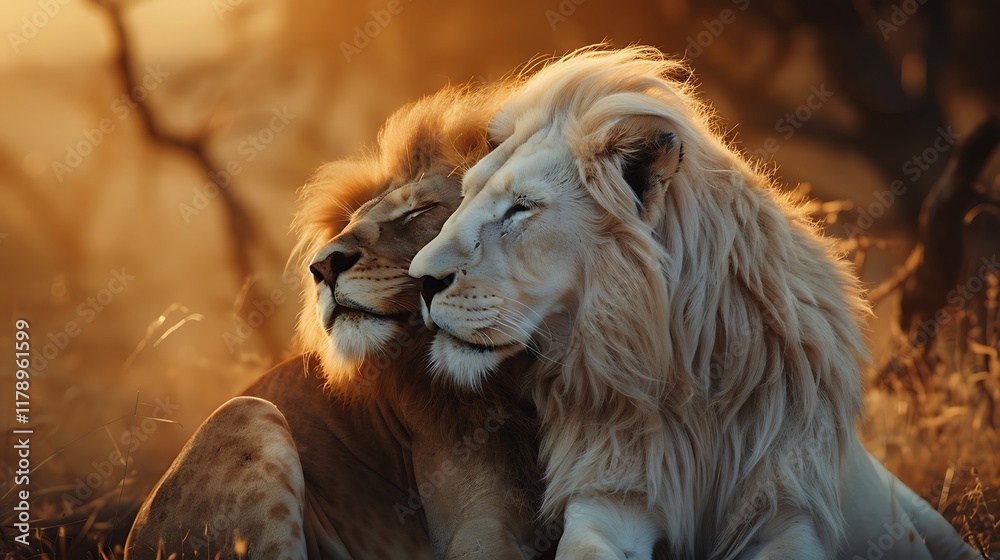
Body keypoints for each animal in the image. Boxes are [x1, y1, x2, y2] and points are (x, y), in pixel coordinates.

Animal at [126, 83, 554, 559]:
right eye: (351, 223)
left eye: (417, 211)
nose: (322, 265)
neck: (516, 376)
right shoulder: (470, 529)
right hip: (244, 412)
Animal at [409, 47, 981, 560]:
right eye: (466, 195)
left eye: (522, 208)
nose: (420, 280)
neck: (685, 364)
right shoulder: (612, 493)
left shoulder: (786, 508)